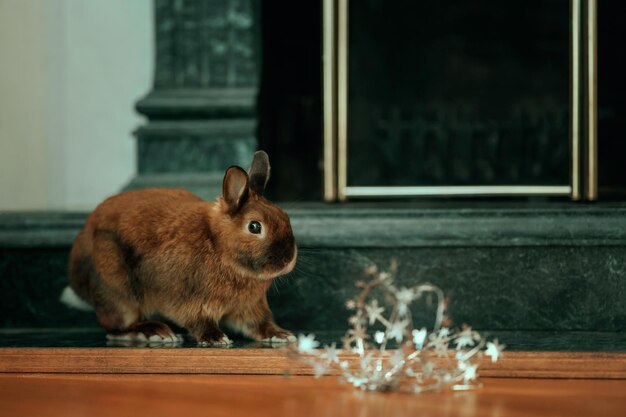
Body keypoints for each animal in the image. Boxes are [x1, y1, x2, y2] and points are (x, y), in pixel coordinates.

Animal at [62, 151, 296, 342]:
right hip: (117, 291)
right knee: (116, 328)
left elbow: (259, 324)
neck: (217, 245)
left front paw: (281, 335)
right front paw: (215, 338)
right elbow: (199, 321)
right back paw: (155, 332)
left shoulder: (249, 306)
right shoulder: (189, 300)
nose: (288, 260)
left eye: (285, 216)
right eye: (255, 226)